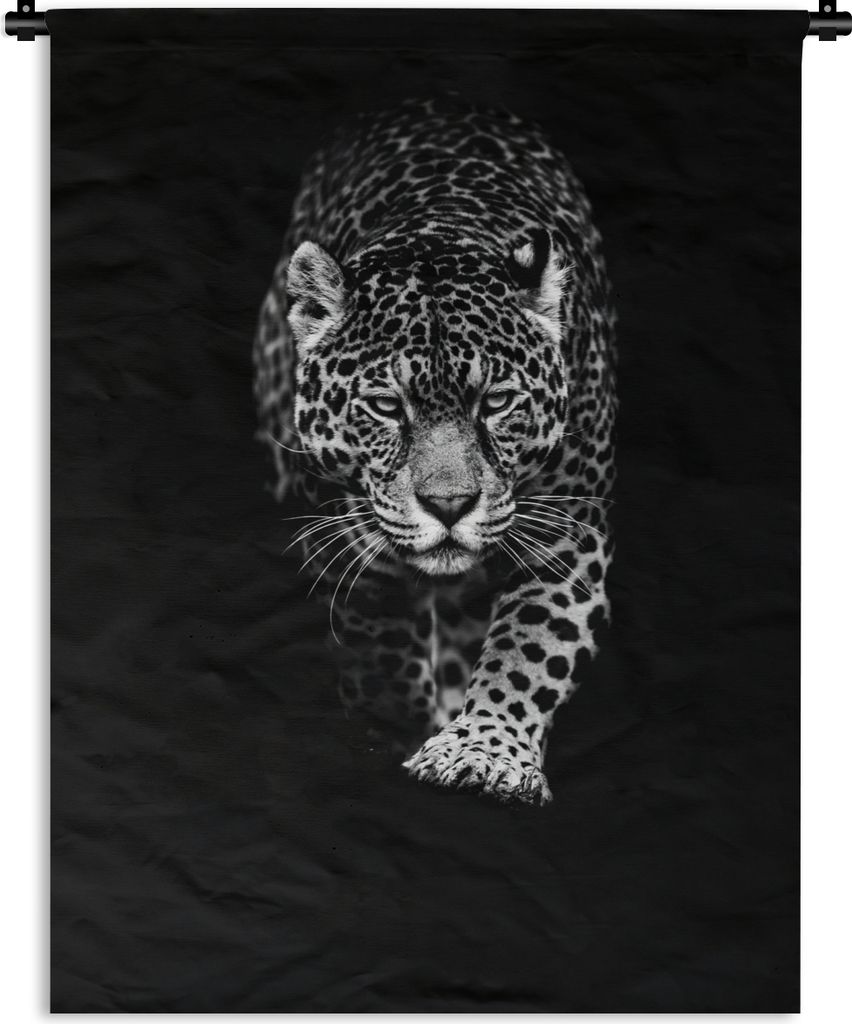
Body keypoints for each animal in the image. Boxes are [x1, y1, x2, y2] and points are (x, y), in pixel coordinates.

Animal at [253, 96, 616, 806]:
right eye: (386, 405)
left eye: (496, 402)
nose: (449, 506)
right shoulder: (350, 541)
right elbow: (378, 647)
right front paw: (397, 727)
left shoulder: (567, 535)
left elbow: (531, 645)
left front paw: (486, 752)